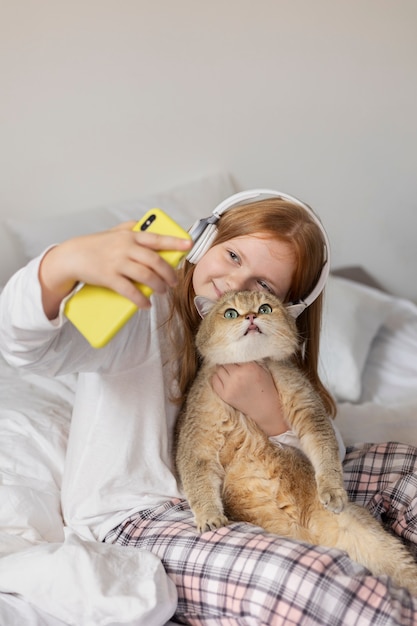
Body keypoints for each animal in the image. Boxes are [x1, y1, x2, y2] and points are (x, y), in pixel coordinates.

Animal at [174, 290, 416, 592]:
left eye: (265, 308)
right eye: (230, 313)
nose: (250, 316)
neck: (252, 364)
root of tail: (312, 536)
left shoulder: (306, 405)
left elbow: (324, 446)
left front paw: (332, 489)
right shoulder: (197, 440)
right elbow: (198, 480)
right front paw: (209, 517)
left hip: (373, 539)